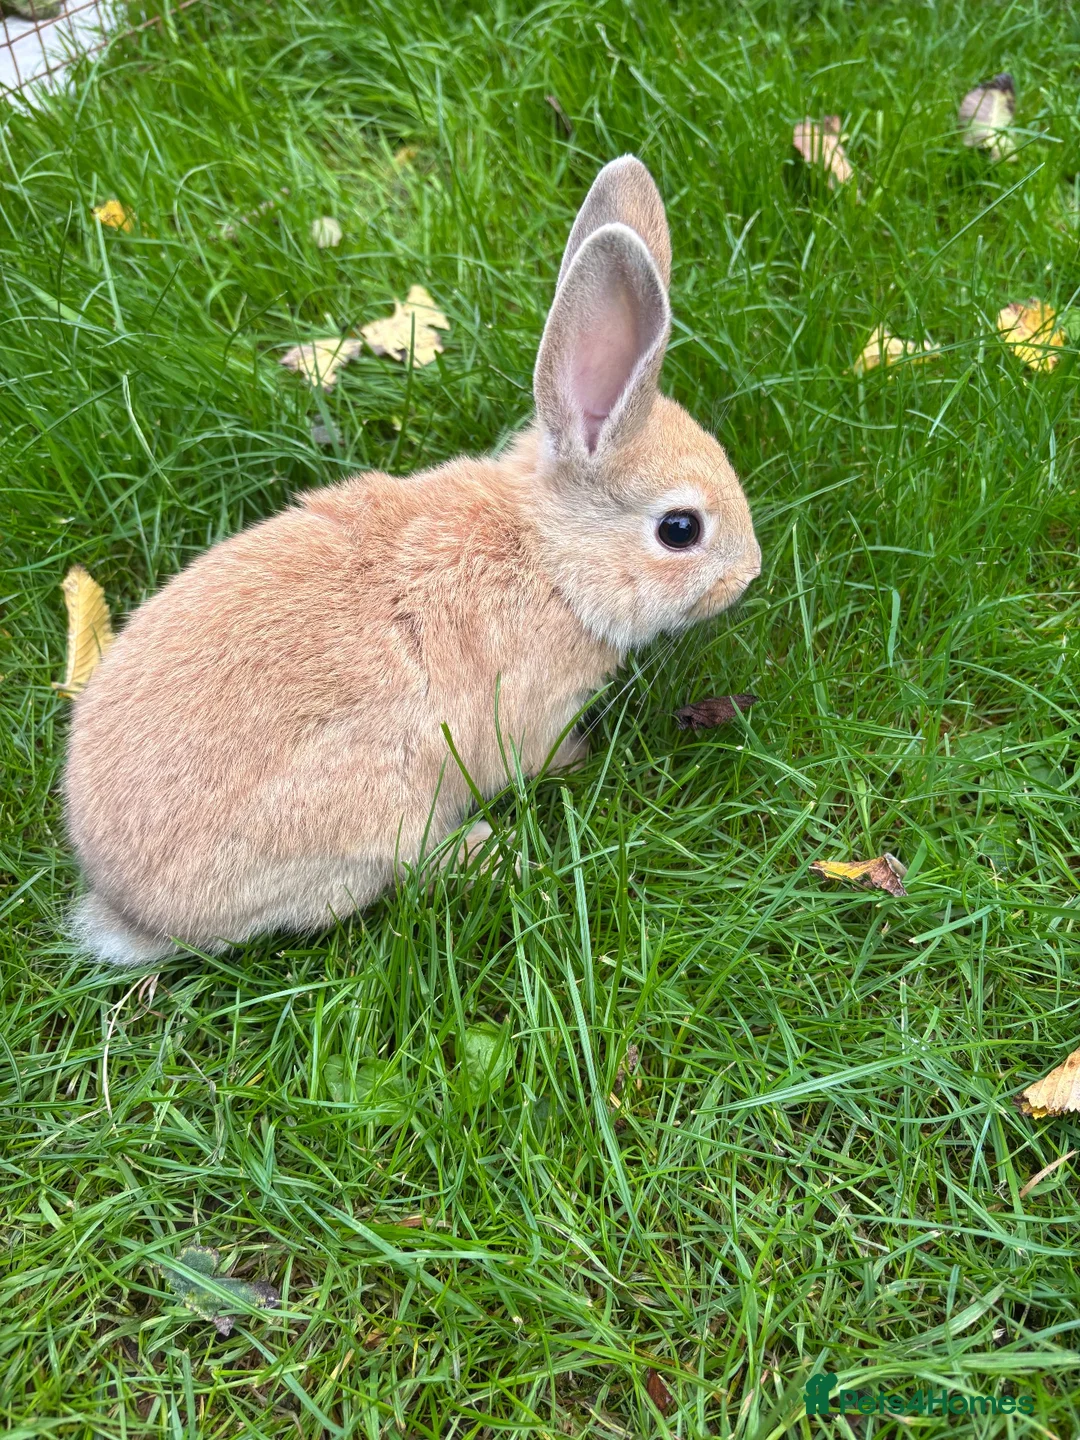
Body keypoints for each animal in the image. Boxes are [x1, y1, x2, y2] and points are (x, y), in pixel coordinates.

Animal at [63, 155, 762, 967]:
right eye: (681, 530)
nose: (749, 573)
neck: (548, 559)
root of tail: (132, 911)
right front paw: (579, 758)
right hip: (374, 804)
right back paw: (494, 852)